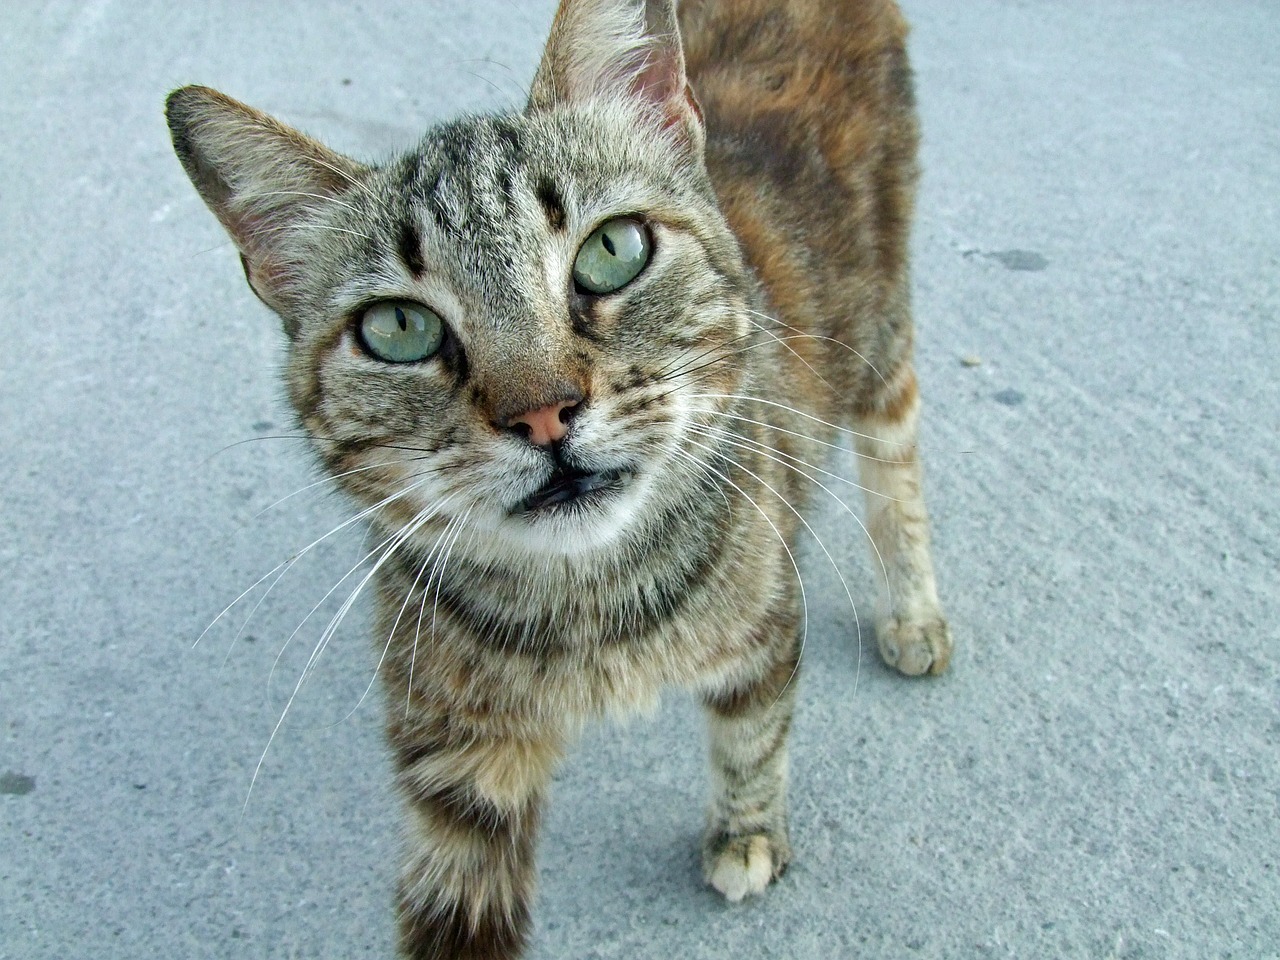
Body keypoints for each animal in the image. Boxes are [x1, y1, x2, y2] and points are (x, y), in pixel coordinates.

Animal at [165, 0, 952, 957]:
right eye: (398, 328)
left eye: (613, 250)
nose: (543, 414)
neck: (591, 607)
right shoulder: (458, 763)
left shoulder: (768, 616)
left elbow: (755, 736)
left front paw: (747, 832)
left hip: (882, 327)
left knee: (894, 463)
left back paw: (913, 610)